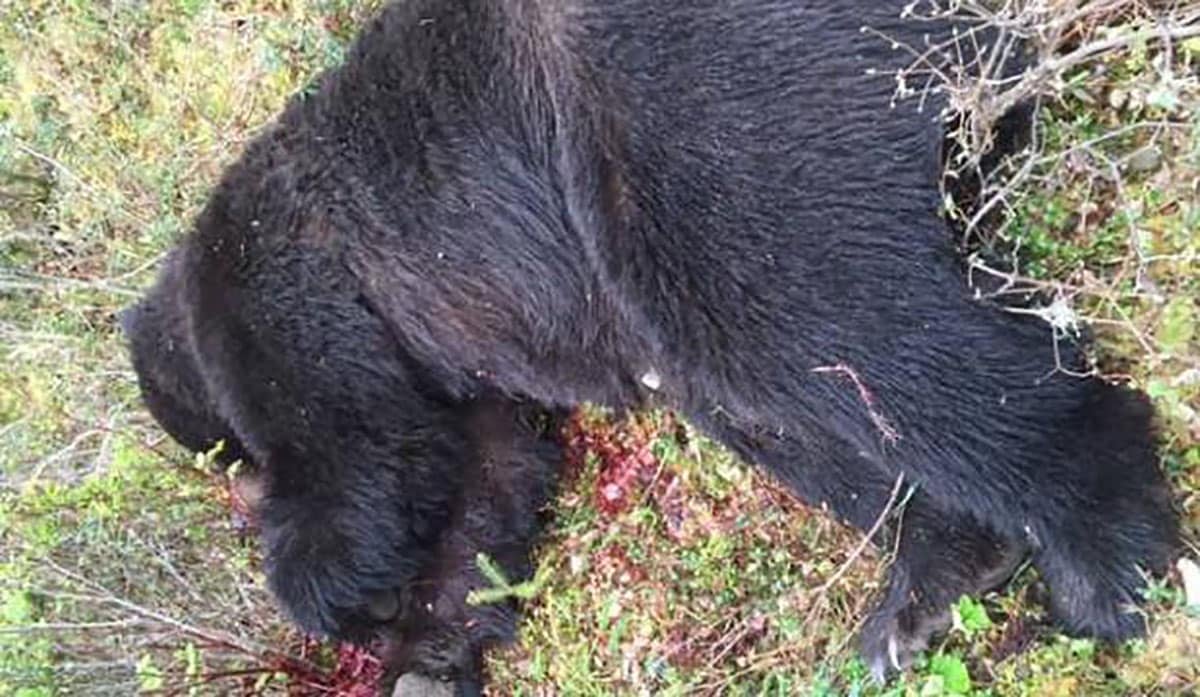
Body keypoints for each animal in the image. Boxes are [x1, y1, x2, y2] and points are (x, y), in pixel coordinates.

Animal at [121, 0, 1180, 692]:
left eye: (225, 453)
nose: (229, 480)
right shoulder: (466, 375)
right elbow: (483, 481)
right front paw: (427, 653)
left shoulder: (284, 281)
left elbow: (362, 450)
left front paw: (338, 594)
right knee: (775, 393)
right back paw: (924, 591)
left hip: (695, 108)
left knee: (816, 317)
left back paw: (1103, 564)